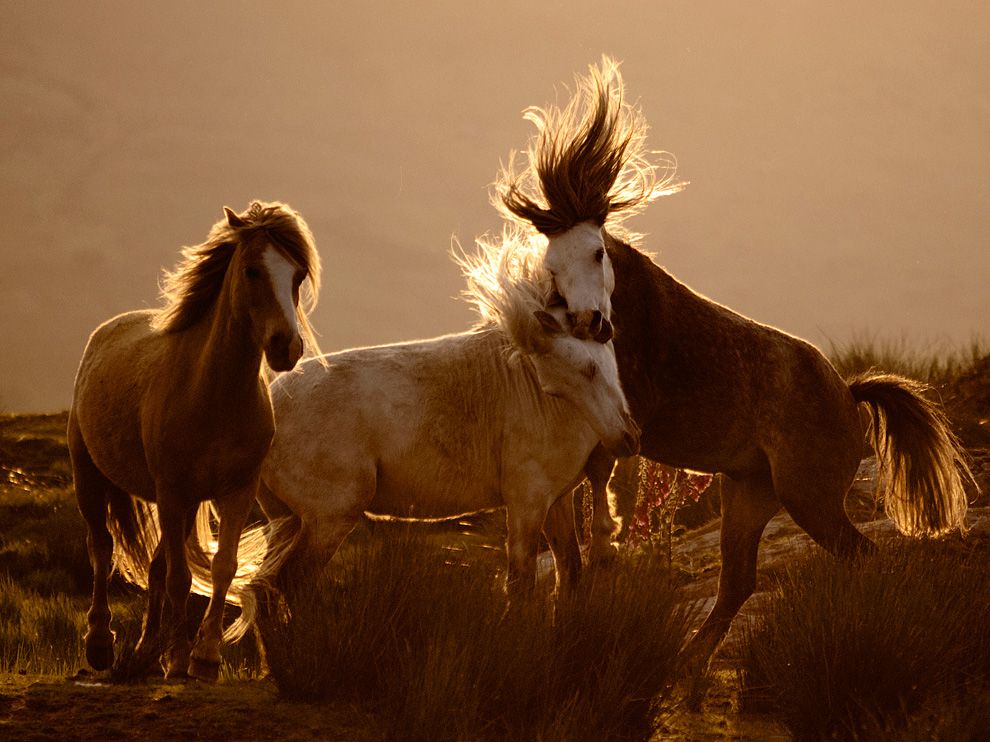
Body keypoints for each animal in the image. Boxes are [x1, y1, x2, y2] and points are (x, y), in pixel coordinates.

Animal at [209, 228, 644, 640]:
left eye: (599, 364)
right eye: (577, 374)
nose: (627, 438)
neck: (548, 403)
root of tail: (269, 408)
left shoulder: (557, 501)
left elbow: (570, 574)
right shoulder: (527, 503)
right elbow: (521, 584)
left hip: (285, 520)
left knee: (263, 592)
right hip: (327, 520)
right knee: (285, 586)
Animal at [496, 56, 976, 664]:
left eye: (598, 251)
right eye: (550, 266)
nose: (590, 323)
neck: (637, 326)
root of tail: (849, 394)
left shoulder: (627, 418)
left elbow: (598, 483)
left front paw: (608, 536)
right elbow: (566, 537)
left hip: (808, 496)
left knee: (856, 556)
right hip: (750, 493)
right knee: (739, 581)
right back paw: (690, 661)